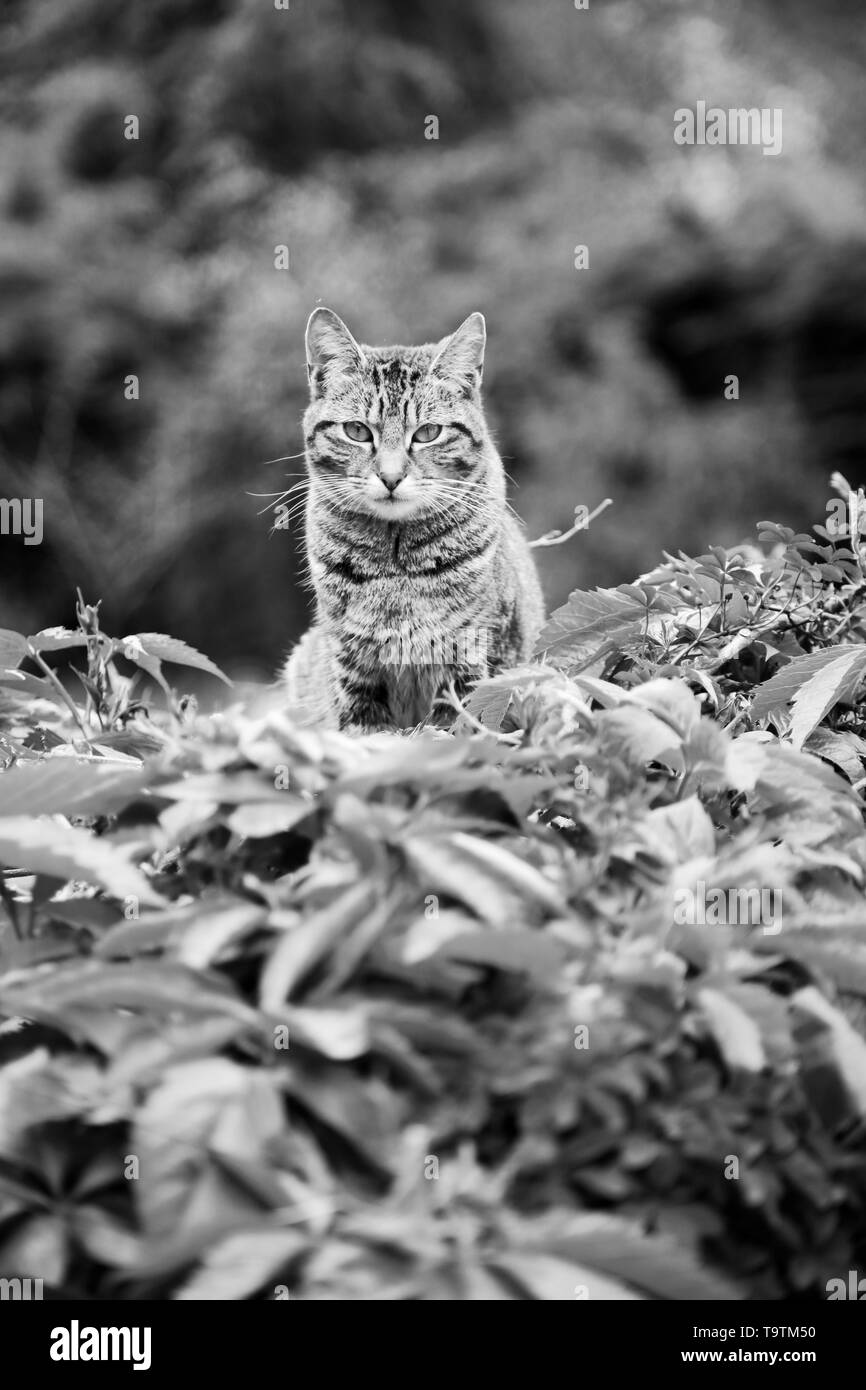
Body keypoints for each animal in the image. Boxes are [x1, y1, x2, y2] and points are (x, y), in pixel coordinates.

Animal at [283, 309, 542, 733]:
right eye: (357, 431)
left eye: (428, 433)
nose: (390, 477)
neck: (395, 555)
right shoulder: (350, 655)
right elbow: (361, 722)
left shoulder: (474, 648)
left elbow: (460, 717)